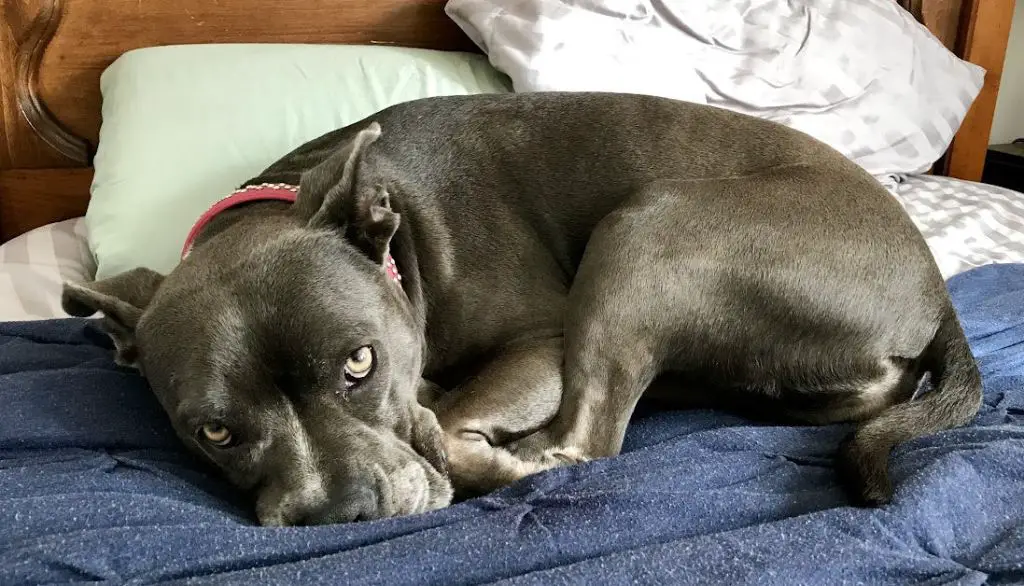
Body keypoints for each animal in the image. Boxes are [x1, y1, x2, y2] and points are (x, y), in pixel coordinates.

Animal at [59, 92, 978, 524]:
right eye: (214, 430)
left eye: (360, 362)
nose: (341, 512)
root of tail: (936, 290)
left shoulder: (542, 340)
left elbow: (454, 422)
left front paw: (471, 444)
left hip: (647, 228)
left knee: (588, 438)